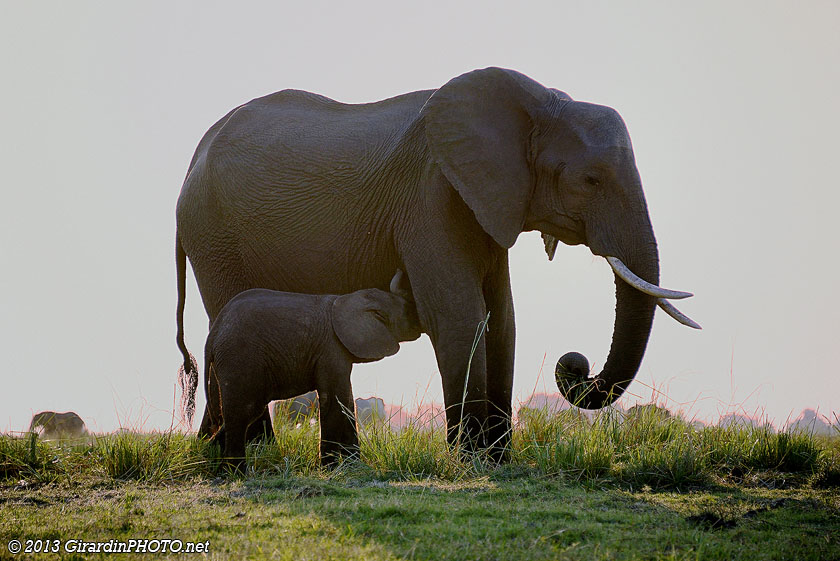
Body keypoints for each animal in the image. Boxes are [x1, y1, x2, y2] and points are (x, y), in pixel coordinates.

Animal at [195, 270, 421, 466]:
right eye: (408, 312)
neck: (348, 299)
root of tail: (212, 337)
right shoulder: (330, 348)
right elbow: (334, 400)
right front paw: (333, 468)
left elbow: (346, 401)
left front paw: (352, 465)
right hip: (240, 357)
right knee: (243, 413)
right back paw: (236, 472)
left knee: (249, 410)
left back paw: (211, 458)